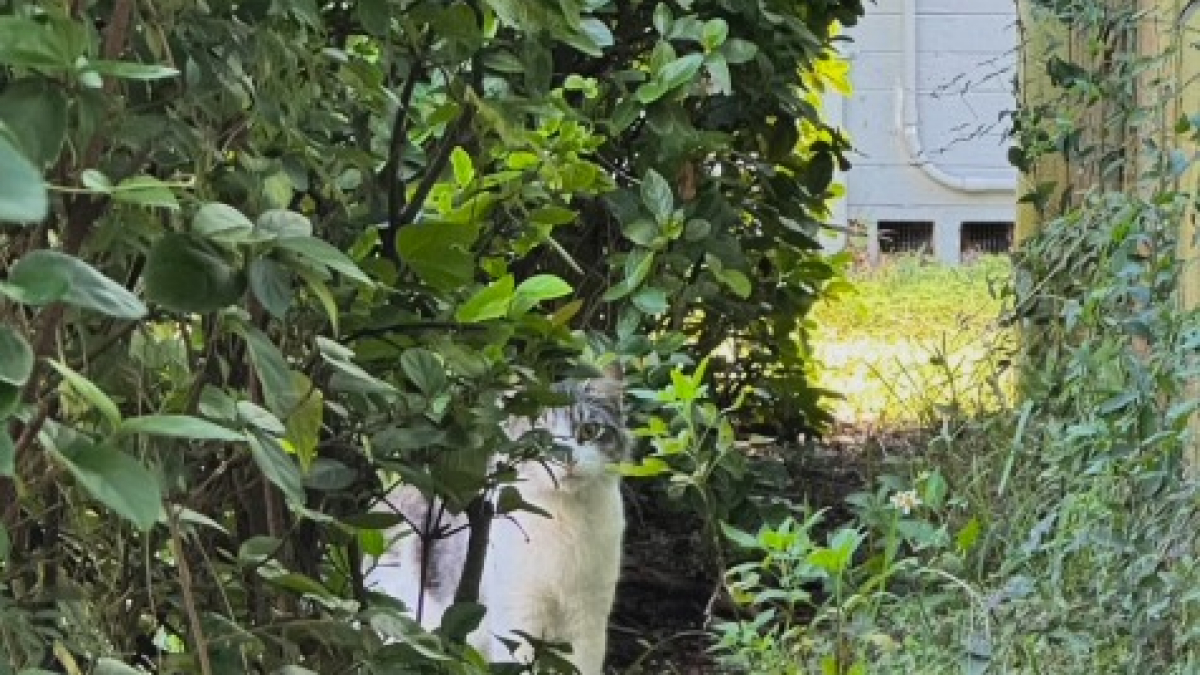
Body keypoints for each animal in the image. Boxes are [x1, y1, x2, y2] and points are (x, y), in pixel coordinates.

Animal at [362, 369, 628, 667]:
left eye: (589, 430)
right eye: (539, 438)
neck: (564, 519)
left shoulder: (588, 617)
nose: (567, 458)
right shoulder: (519, 614)